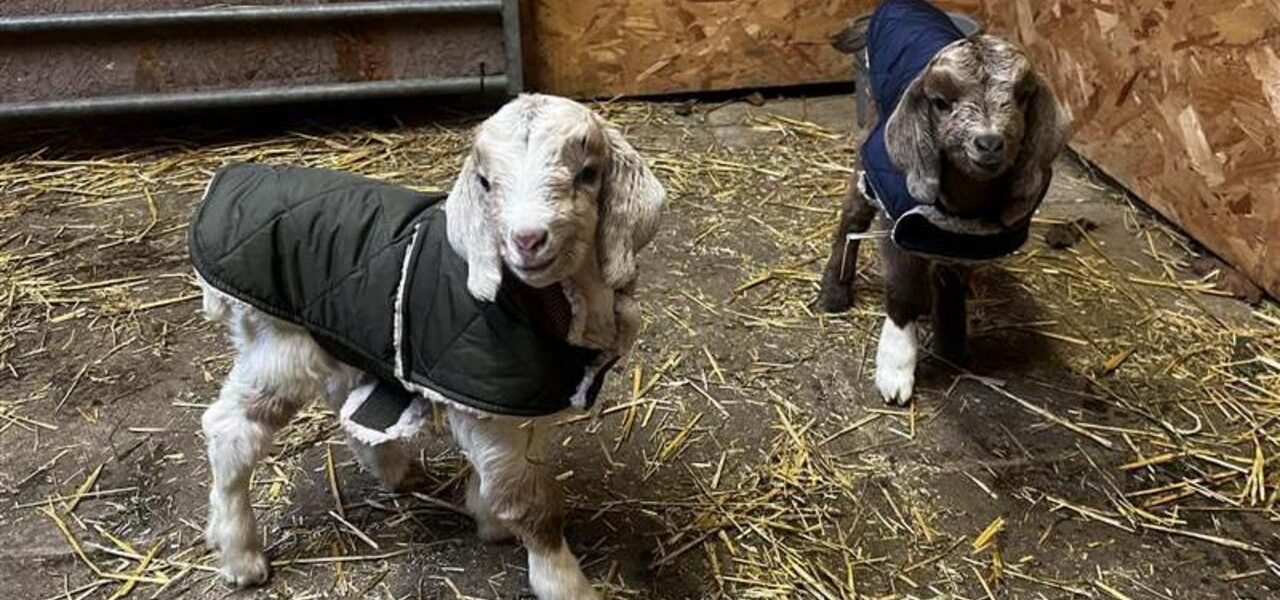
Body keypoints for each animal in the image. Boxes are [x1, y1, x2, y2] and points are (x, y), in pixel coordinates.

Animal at [194, 94, 664, 600]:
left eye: (588, 173)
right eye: (486, 183)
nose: (527, 240)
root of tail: (226, 182)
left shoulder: (515, 405)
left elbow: (502, 477)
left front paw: (488, 516)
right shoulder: (489, 404)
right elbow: (531, 503)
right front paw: (564, 582)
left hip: (339, 334)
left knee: (343, 403)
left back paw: (395, 471)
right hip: (280, 343)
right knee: (231, 429)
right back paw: (240, 554)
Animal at [818, 0, 1069, 405]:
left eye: (1021, 97)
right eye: (940, 102)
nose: (988, 143)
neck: (964, 202)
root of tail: (897, 6)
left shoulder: (967, 238)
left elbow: (951, 278)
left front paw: (951, 341)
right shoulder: (896, 220)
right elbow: (903, 291)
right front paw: (895, 369)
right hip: (870, 145)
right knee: (852, 216)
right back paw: (834, 292)